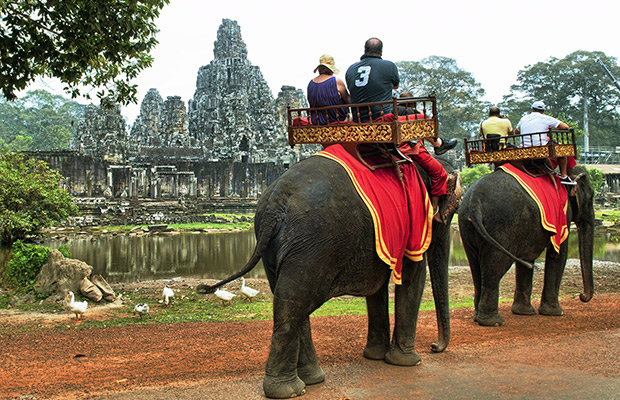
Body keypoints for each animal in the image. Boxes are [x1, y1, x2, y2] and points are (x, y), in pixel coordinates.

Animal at [197, 149, 460, 396]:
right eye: (452, 209)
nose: (434, 347)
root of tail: (274, 203)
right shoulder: (415, 220)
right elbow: (412, 275)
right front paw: (408, 361)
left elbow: (377, 286)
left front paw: (376, 356)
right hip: (311, 242)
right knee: (292, 306)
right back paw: (288, 390)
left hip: (276, 241)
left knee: (291, 301)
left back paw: (311, 379)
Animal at [456, 164, 596, 326]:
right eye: (591, 197)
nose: (582, 296)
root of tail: (474, 201)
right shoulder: (562, 215)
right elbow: (559, 253)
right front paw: (555, 313)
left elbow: (528, 257)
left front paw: (524, 312)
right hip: (500, 228)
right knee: (494, 267)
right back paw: (493, 322)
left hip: (466, 227)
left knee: (476, 268)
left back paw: (478, 317)